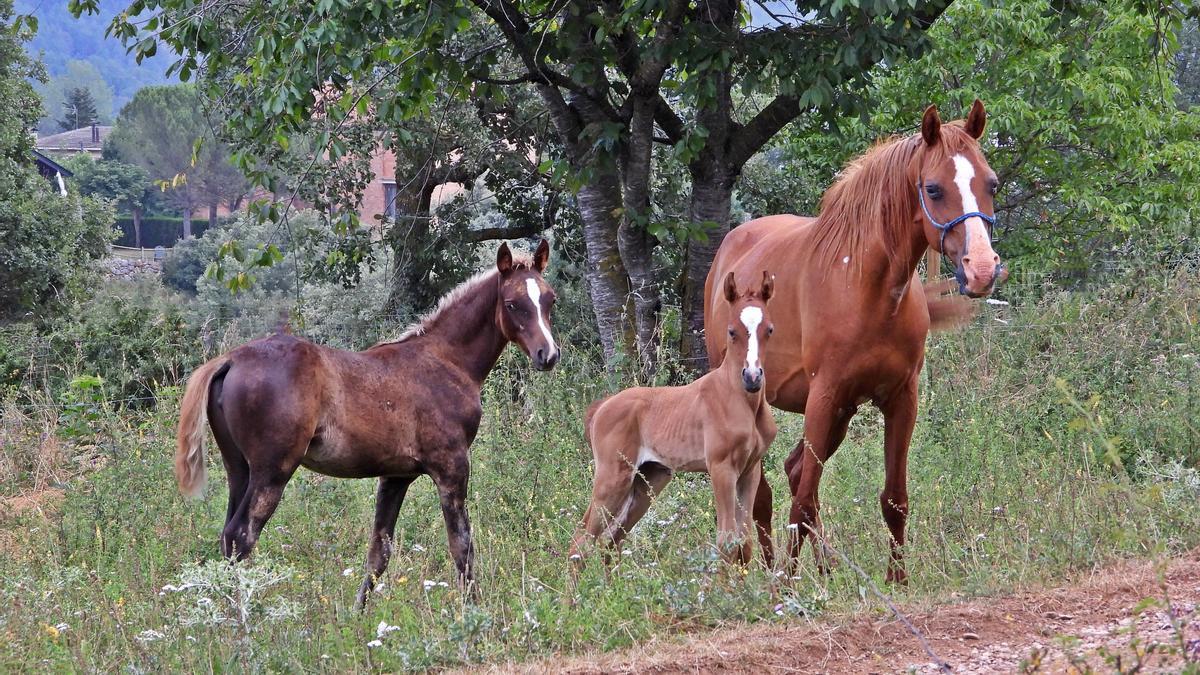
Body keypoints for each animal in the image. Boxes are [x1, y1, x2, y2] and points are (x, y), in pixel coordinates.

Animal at [571, 270, 777, 559]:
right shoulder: (721, 468)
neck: (743, 401)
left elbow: (744, 541)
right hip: (613, 478)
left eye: (769, 329)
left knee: (612, 541)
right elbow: (726, 540)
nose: (752, 377)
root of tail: (603, 406)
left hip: (648, 481)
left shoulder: (750, 470)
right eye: (731, 331)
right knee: (581, 542)